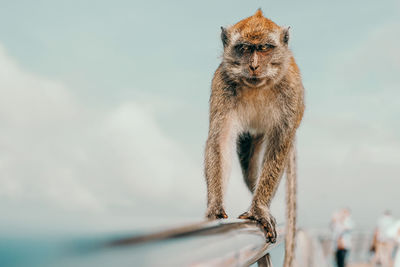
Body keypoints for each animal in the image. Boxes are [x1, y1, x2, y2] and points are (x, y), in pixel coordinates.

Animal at [205, 8, 304, 267]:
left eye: (265, 48)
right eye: (245, 48)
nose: (254, 66)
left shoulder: (290, 90)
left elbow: (280, 142)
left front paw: (259, 209)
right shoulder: (222, 83)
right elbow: (220, 139)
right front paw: (215, 207)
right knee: (250, 168)